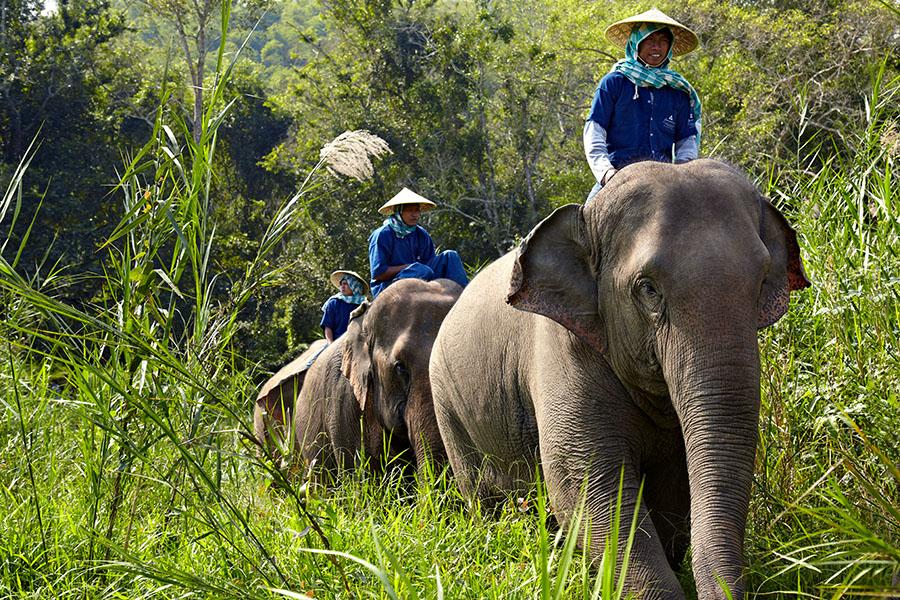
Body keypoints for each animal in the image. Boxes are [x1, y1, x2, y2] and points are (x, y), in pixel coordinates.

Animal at [429, 159, 810, 599]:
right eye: (648, 289)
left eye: (763, 280)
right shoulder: (564, 350)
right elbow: (590, 487)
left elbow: (673, 486)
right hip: (449, 407)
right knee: (481, 495)